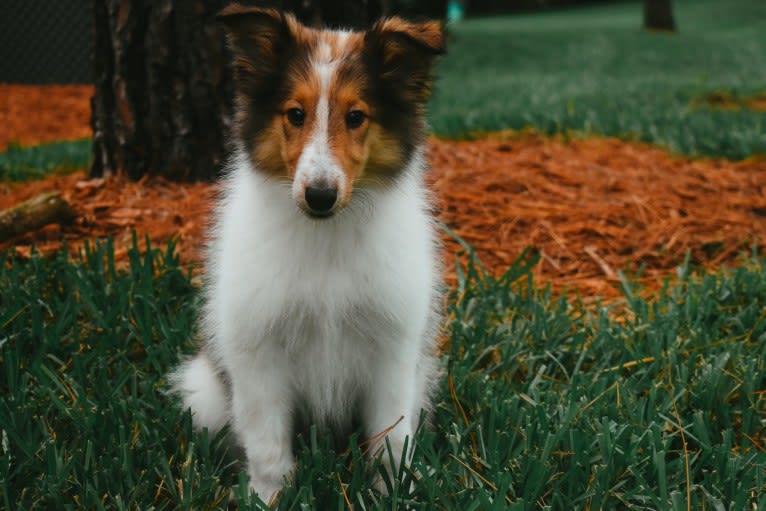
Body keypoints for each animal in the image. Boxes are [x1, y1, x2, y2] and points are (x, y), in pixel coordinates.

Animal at [168, 5, 444, 504]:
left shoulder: (392, 348)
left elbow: (391, 438)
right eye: (295, 114)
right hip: (205, 391)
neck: (325, 237)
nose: (319, 196)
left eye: (356, 116)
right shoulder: (258, 352)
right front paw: (267, 498)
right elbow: (267, 445)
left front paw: (394, 492)